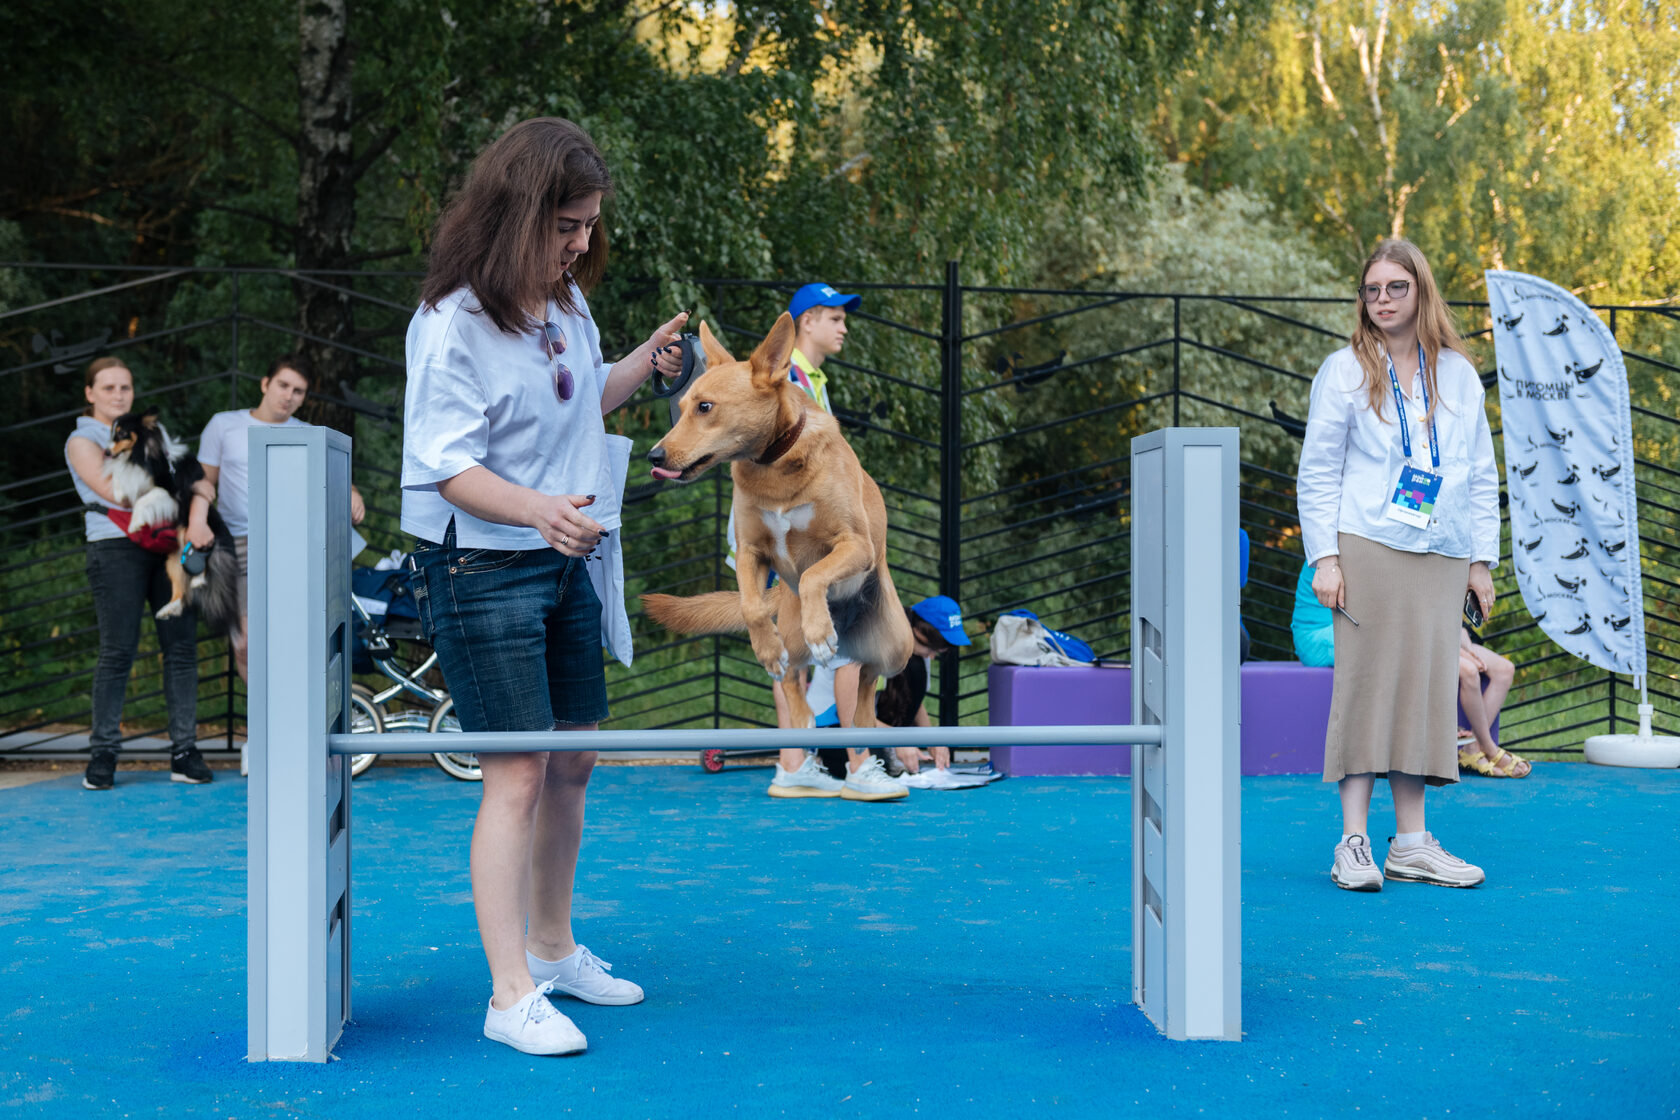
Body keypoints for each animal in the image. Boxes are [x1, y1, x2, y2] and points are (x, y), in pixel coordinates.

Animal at [641, 314, 913, 728]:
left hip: (899, 645)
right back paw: (802, 713)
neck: (774, 466)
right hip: (793, 633)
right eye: (682, 405)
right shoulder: (749, 552)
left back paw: (861, 713)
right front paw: (767, 650)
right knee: (792, 677)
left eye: (705, 407)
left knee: (868, 675)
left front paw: (820, 629)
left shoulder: (855, 544)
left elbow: (814, 573)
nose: (654, 457)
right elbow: (751, 608)